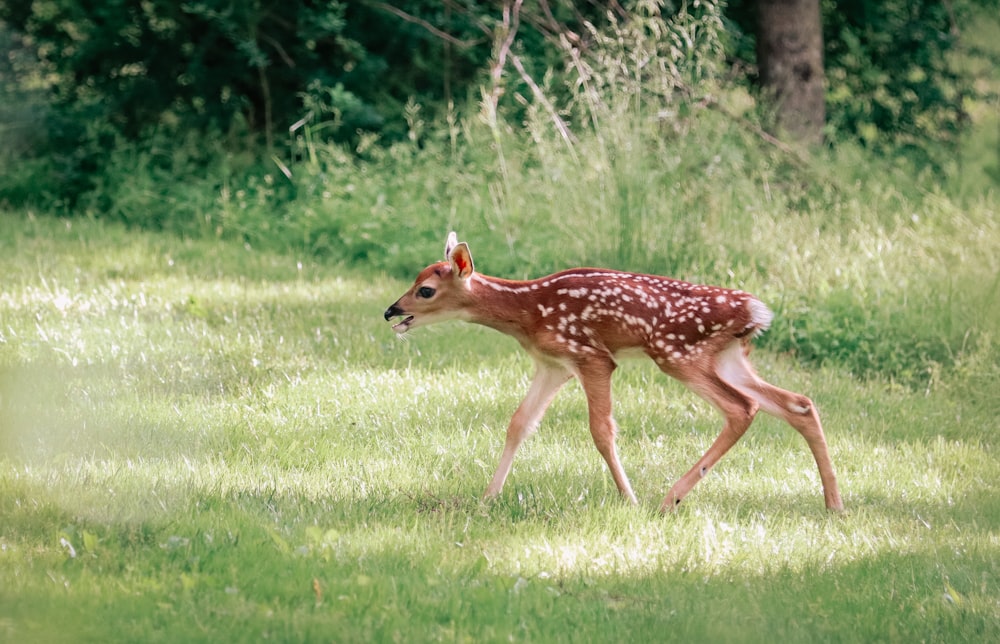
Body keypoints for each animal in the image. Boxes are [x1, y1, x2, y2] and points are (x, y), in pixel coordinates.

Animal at [382, 233, 844, 512]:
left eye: (426, 290)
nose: (391, 311)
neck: (529, 312)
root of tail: (754, 310)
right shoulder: (553, 364)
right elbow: (519, 424)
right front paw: (488, 498)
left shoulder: (592, 356)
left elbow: (601, 430)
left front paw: (629, 499)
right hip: (727, 356)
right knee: (798, 403)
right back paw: (834, 504)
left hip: (676, 353)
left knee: (743, 407)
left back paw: (669, 500)